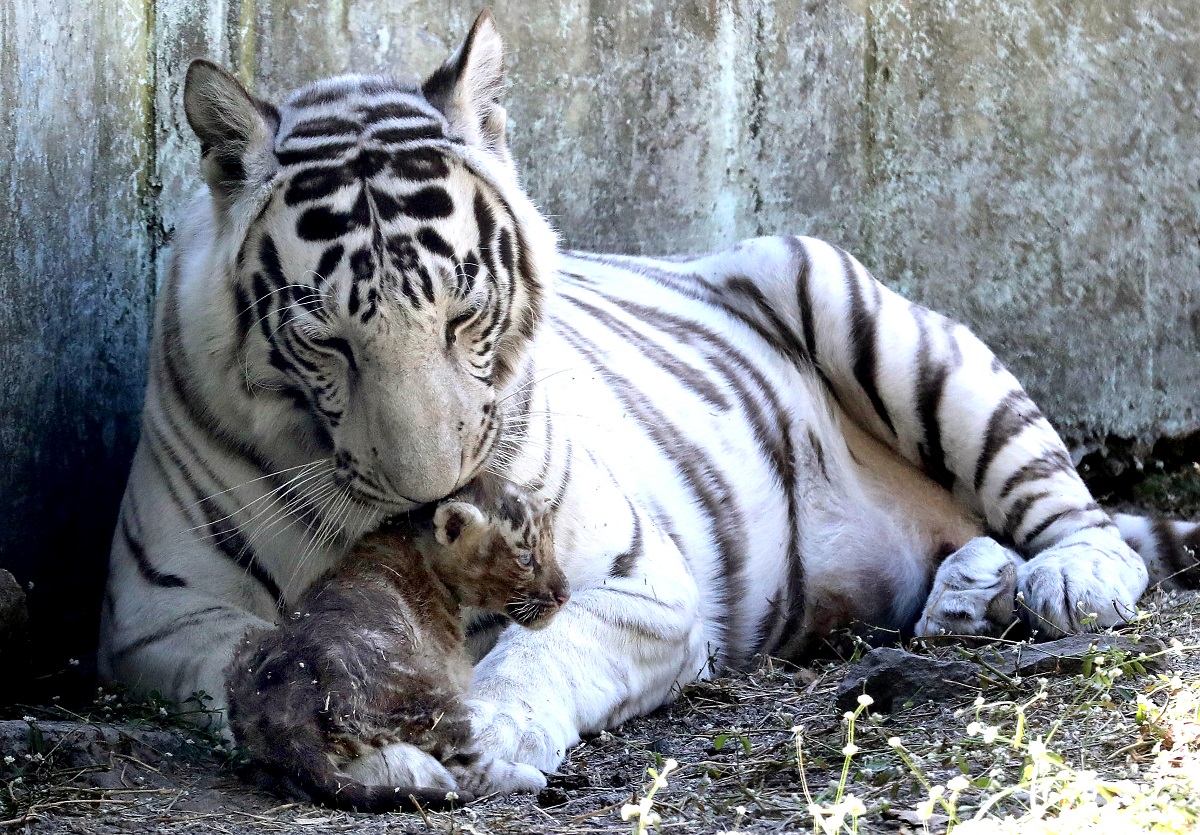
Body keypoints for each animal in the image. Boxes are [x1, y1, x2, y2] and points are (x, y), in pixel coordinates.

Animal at [98, 13, 1195, 787]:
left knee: (1068, 506)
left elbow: (544, 650)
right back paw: (971, 592)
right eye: (327, 336)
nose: (429, 493)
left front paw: (495, 730)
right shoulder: (155, 620)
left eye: (463, 315)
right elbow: (251, 665)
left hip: (855, 303)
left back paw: (1067, 581)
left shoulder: (640, 579)